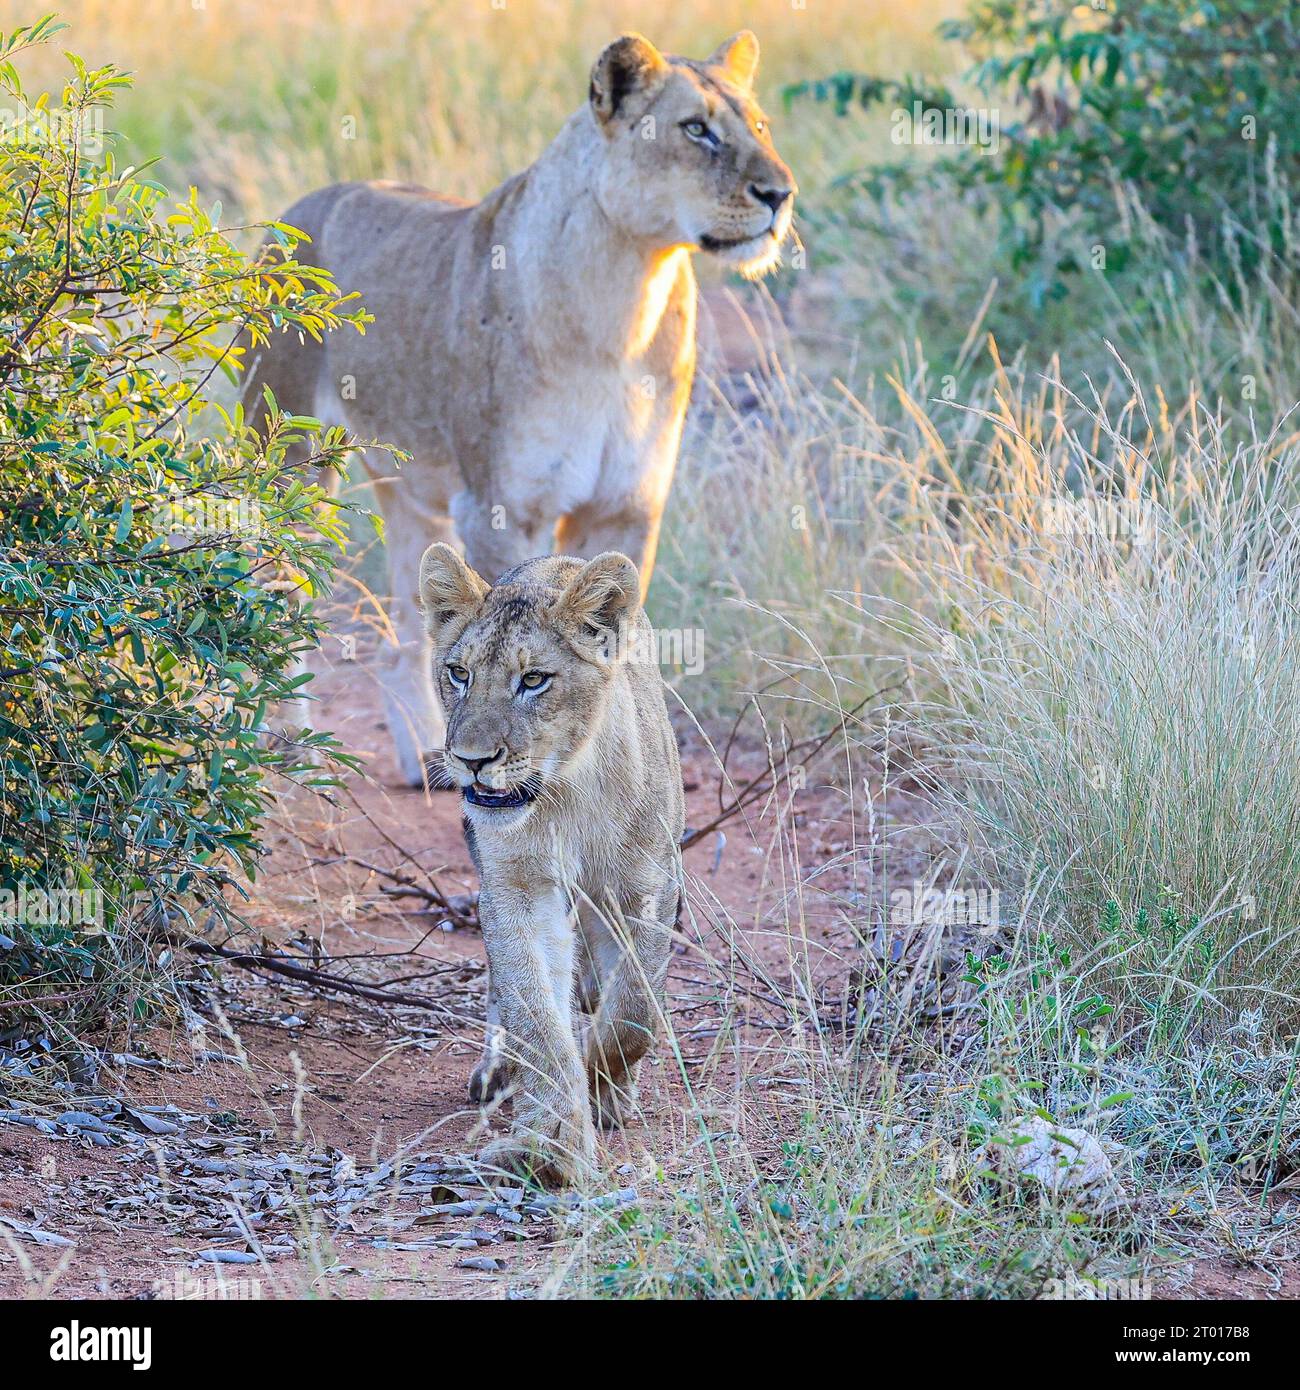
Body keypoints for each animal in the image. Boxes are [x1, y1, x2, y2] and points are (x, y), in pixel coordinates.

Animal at [242, 31, 795, 786]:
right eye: (695, 129)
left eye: (760, 126)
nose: (780, 193)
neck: (628, 295)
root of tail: (290, 215)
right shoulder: (503, 508)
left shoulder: (627, 508)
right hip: (291, 465)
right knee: (279, 594)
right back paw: (291, 745)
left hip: (406, 488)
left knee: (405, 627)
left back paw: (423, 755)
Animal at [418, 542, 685, 1184]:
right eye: (459, 673)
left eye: (533, 680)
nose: (472, 760)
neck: (567, 792)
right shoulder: (517, 885)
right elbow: (536, 1014)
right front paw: (551, 1145)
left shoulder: (649, 889)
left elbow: (634, 1010)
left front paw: (604, 1090)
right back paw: (497, 1072)